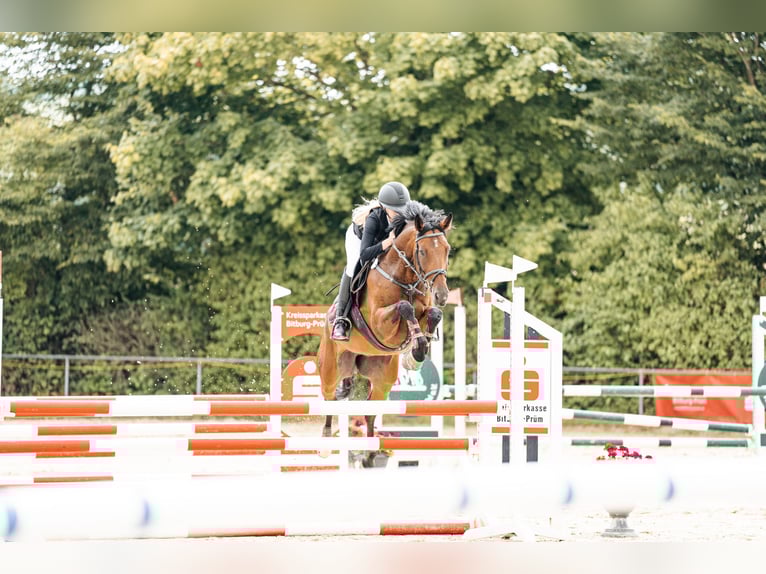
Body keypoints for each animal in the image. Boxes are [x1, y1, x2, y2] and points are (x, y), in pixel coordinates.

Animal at [317, 201, 453, 466]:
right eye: (422, 252)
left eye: (447, 250)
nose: (442, 295)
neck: (406, 278)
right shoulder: (380, 323)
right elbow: (405, 307)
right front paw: (417, 345)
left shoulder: (425, 309)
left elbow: (432, 314)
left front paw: (418, 351)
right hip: (330, 369)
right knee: (329, 400)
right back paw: (327, 444)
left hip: (382, 378)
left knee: (370, 412)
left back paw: (371, 456)